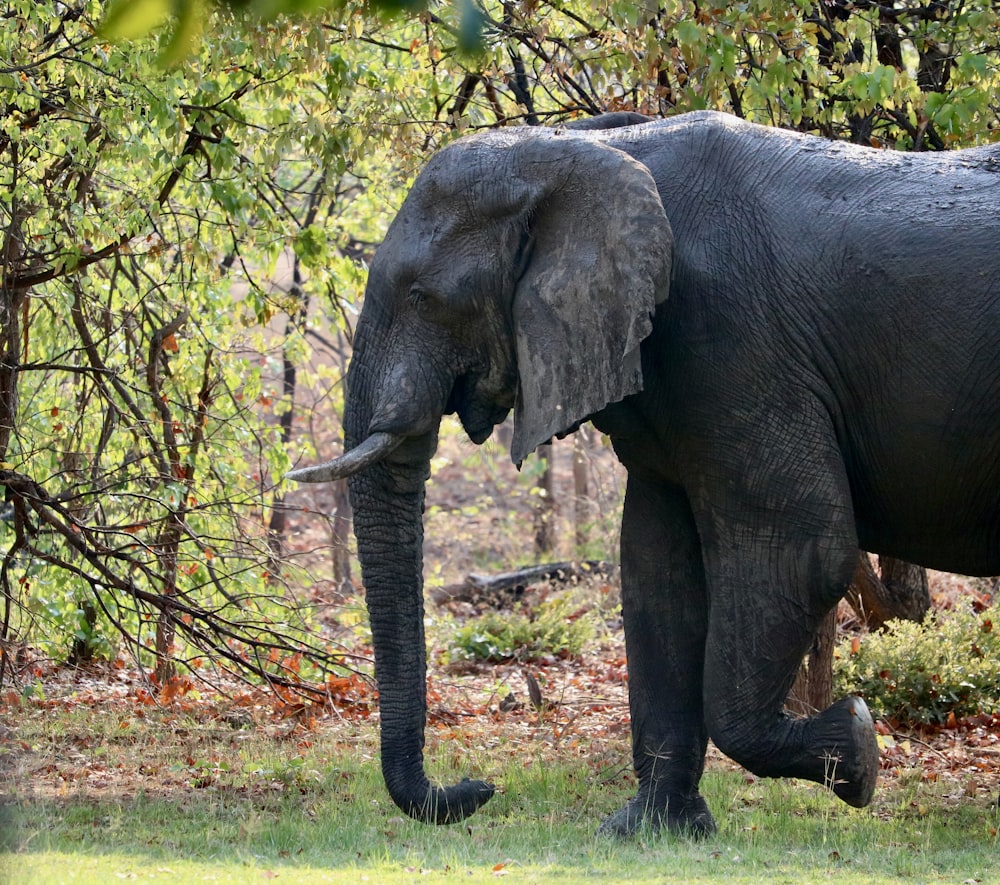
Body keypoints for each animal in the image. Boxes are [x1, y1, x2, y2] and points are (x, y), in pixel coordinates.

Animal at [288, 110, 1000, 836]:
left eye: (422, 295)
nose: (479, 786)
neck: (584, 149)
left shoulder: (736, 340)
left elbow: (805, 550)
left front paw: (857, 748)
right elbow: (656, 568)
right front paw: (651, 830)